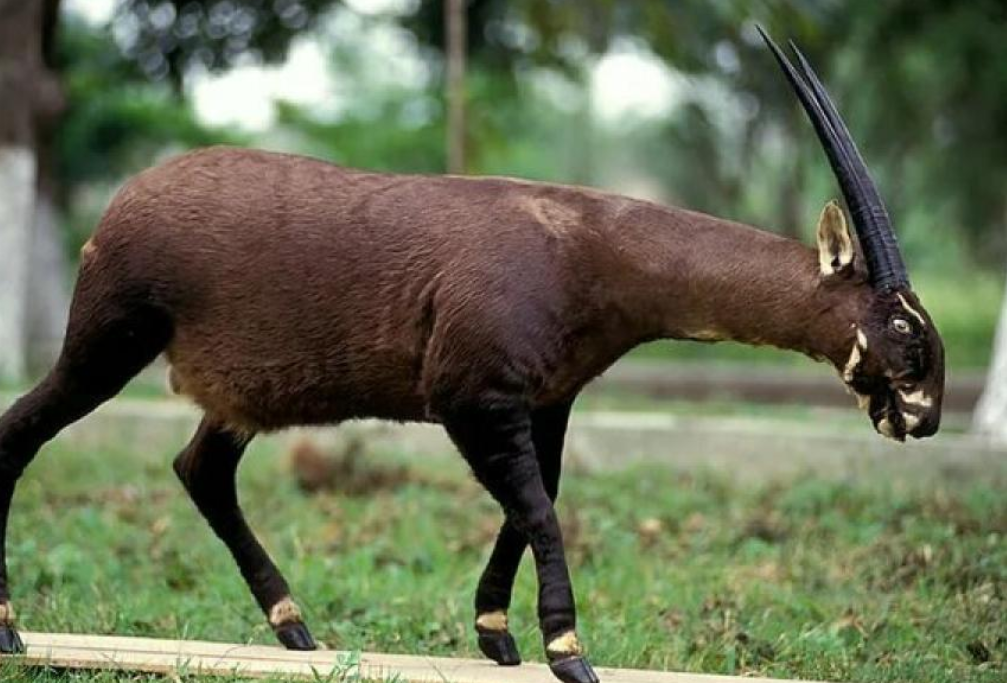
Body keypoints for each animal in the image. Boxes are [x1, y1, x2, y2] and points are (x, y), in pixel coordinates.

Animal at [0, 29, 942, 680]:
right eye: (902, 326)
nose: (924, 418)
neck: (585, 246)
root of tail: (118, 206)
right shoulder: (472, 397)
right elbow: (540, 510)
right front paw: (567, 648)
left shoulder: (544, 399)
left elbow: (533, 502)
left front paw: (496, 632)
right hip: (109, 339)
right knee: (22, 431)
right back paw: (13, 624)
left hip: (237, 392)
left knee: (200, 466)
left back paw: (294, 625)